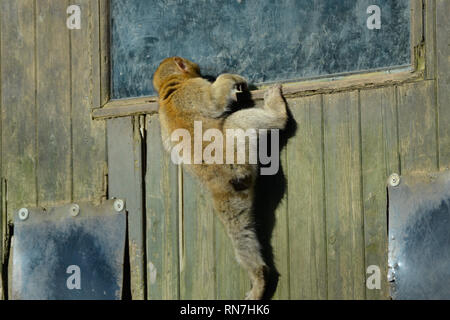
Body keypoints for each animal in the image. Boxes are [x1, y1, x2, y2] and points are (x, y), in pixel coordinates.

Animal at [153, 56, 286, 298]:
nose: (198, 68)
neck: (169, 87)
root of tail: (225, 179)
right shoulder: (192, 89)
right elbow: (214, 100)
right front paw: (233, 79)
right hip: (238, 151)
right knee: (237, 121)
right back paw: (278, 114)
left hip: (229, 193)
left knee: (240, 232)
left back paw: (258, 277)